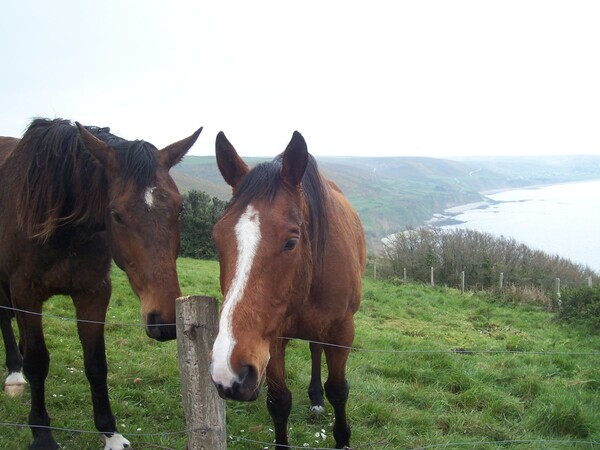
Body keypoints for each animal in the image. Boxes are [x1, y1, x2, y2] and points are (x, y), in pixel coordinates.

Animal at [0, 118, 202, 448]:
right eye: (115, 214)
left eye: (180, 208)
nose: (165, 321)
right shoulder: (26, 292)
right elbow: (38, 362)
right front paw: (42, 434)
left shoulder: (93, 293)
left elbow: (96, 364)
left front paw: (110, 433)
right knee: (6, 319)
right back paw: (15, 374)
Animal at [209, 129, 368, 446]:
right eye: (217, 238)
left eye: (291, 242)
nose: (228, 371)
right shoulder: (271, 339)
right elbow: (279, 402)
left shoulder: (342, 331)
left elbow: (338, 390)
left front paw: (342, 439)